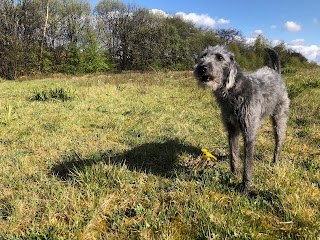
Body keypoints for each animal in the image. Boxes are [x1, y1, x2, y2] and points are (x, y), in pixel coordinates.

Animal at [195, 44, 290, 191]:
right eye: (203, 56)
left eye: (220, 57)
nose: (201, 68)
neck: (234, 91)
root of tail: (276, 73)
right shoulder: (232, 130)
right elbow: (233, 155)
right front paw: (233, 175)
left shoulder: (249, 133)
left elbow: (247, 163)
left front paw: (245, 188)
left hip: (279, 119)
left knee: (278, 142)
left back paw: (275, 162)